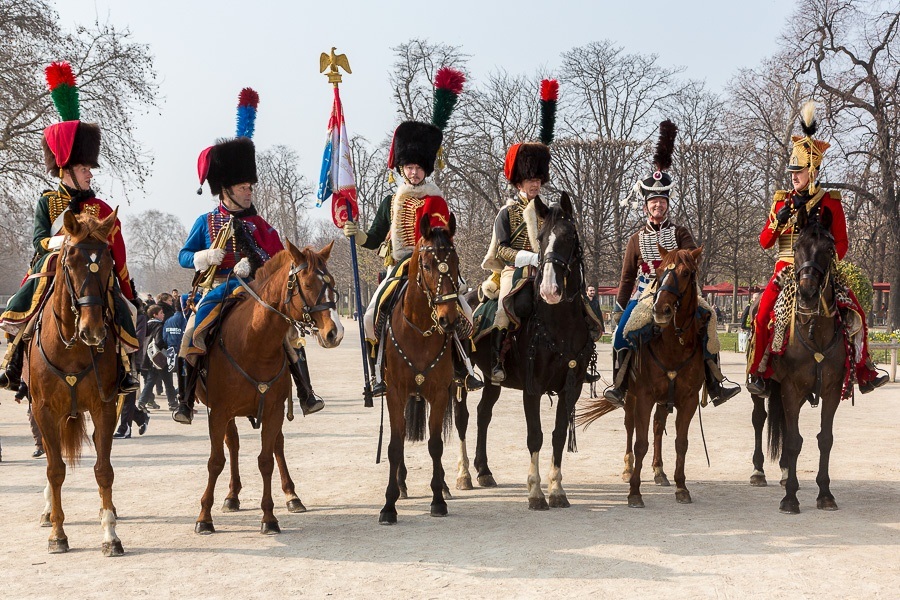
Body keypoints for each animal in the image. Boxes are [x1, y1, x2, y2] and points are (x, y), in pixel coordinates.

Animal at [26, 209, 125, 556]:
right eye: (69, 263)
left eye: (108, 264)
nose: (93, 330)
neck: (70, 346)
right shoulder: (43, 410)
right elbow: (55, 470)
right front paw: (58, 534)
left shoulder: (104, 406)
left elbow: (103, 469)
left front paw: (110, 533)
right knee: (49, 455)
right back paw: (47, 511)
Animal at [192, 240, 342, 536]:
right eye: (307, 284)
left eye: (331, 283)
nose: (335, 332)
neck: (254, 342)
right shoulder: (218, 412)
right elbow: (216, 461)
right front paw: (204, 517)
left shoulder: (274, 410)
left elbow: (266, 460)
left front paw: (269, 518)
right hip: (226, 415)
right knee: (233, 445)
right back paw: (232, 496)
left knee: (277, 446)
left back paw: (292, 496)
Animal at [380, 213, 460, 524]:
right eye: (426, 265)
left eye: (456, 263)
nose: (449, 319)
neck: (420, 331)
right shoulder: (395, 393)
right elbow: (394, 446)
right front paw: (388, 505)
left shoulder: (439, 394)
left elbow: (435, 445)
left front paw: (438, 499)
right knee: (400, 438)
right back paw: (400, 485)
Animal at [454, 193, 596, 510]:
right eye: (541, 239)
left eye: (570, 237)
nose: (550, 290)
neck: (559, 324)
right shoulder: (533, 388)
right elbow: (535, 436)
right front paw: (535, 492)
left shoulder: (572, 387)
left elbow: (557, 435)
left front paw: (556, 490)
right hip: (458, 379)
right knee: (462, 418)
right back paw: (464, 474)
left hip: (492, 379)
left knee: (483, 414)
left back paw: (484, 471)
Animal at [580, 244, 708, 506]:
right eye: (658, 272)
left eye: (686, 273)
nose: (660, 309)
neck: (674, 345)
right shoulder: (644, 397)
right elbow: (640, 443)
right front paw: (634, 491)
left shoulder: (688, 400)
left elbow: (681, 443)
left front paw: (682, 487)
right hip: (631, 398)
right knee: (630, 427)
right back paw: (628, 469)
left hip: (664, 400)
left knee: (658, 427)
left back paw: (659, 471)